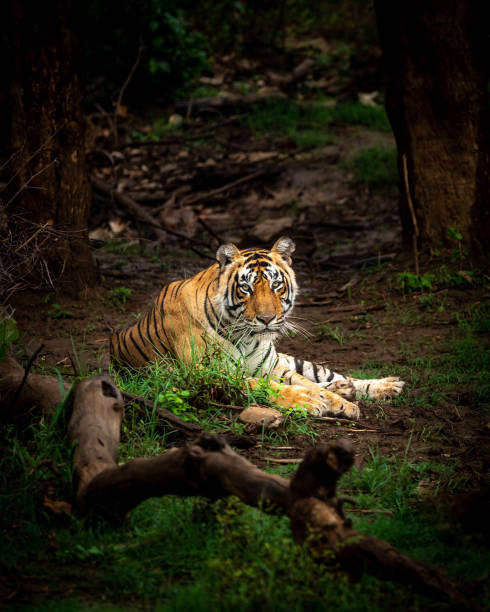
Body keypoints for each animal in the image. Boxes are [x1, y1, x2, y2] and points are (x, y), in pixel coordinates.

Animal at [111, 237, 406, 418]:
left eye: (276, 285)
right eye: (246, 288)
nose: (266, 319)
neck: (247, 337)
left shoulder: (271, 367)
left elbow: (308, 384)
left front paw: (342, 404)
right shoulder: (210, 373)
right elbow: (274, 388)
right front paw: (310, 402)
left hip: (290, 360)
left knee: (329, 375)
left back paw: (383, 386)